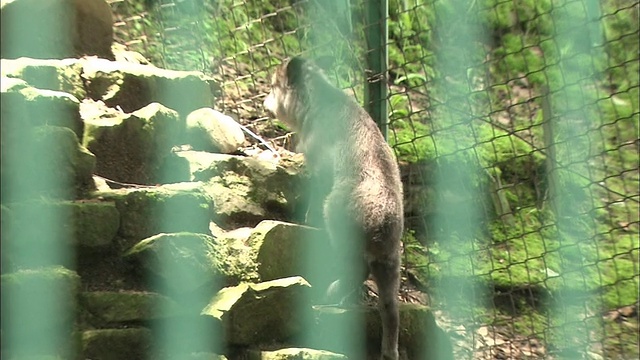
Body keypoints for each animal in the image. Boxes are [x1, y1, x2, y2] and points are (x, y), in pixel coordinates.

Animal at [262, 57, 402, 358]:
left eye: (274, 85)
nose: (265, 101)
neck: (315, 102)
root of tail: (385, 218)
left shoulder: (318, 168)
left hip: (340, 224)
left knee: (357, 269)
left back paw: (330, 294)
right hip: (390, 260)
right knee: (391, 308)